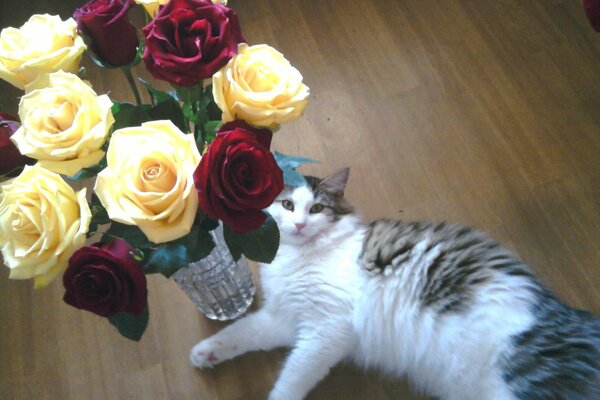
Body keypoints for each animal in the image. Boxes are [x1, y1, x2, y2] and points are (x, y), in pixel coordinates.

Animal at [190, 170, 596, 400]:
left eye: (317, 209)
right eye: (287, 205)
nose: (301, 224)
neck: (301, 256)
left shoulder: (327, 330)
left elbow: (291, 379)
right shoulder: (288, 319)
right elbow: (242, 333)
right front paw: (206, 353)